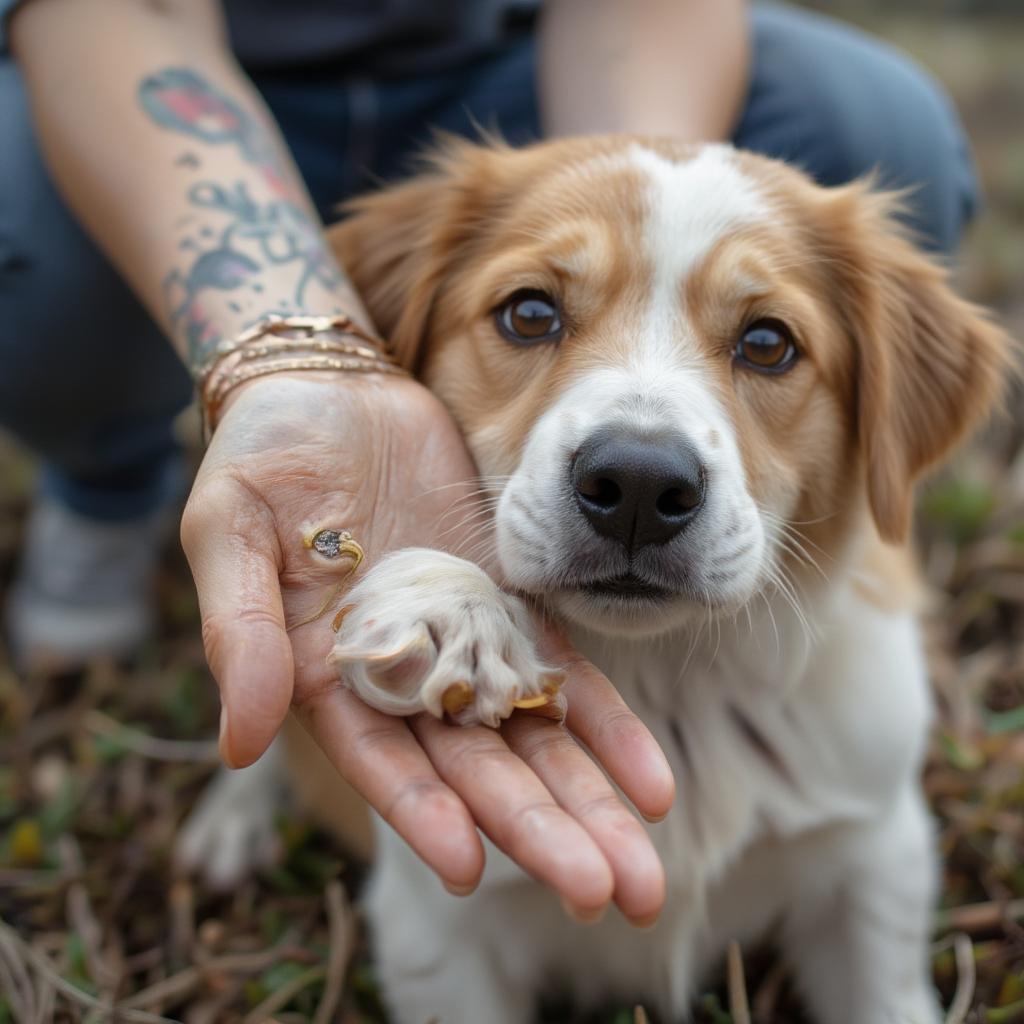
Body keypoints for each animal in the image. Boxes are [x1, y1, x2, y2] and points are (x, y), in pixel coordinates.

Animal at [182, 138, 1007, 1024]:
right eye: (530, 314)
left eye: (767, 343)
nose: (640, 485)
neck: (667, 684)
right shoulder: (439, 930)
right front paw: (451, 608)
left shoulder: (873, 861)